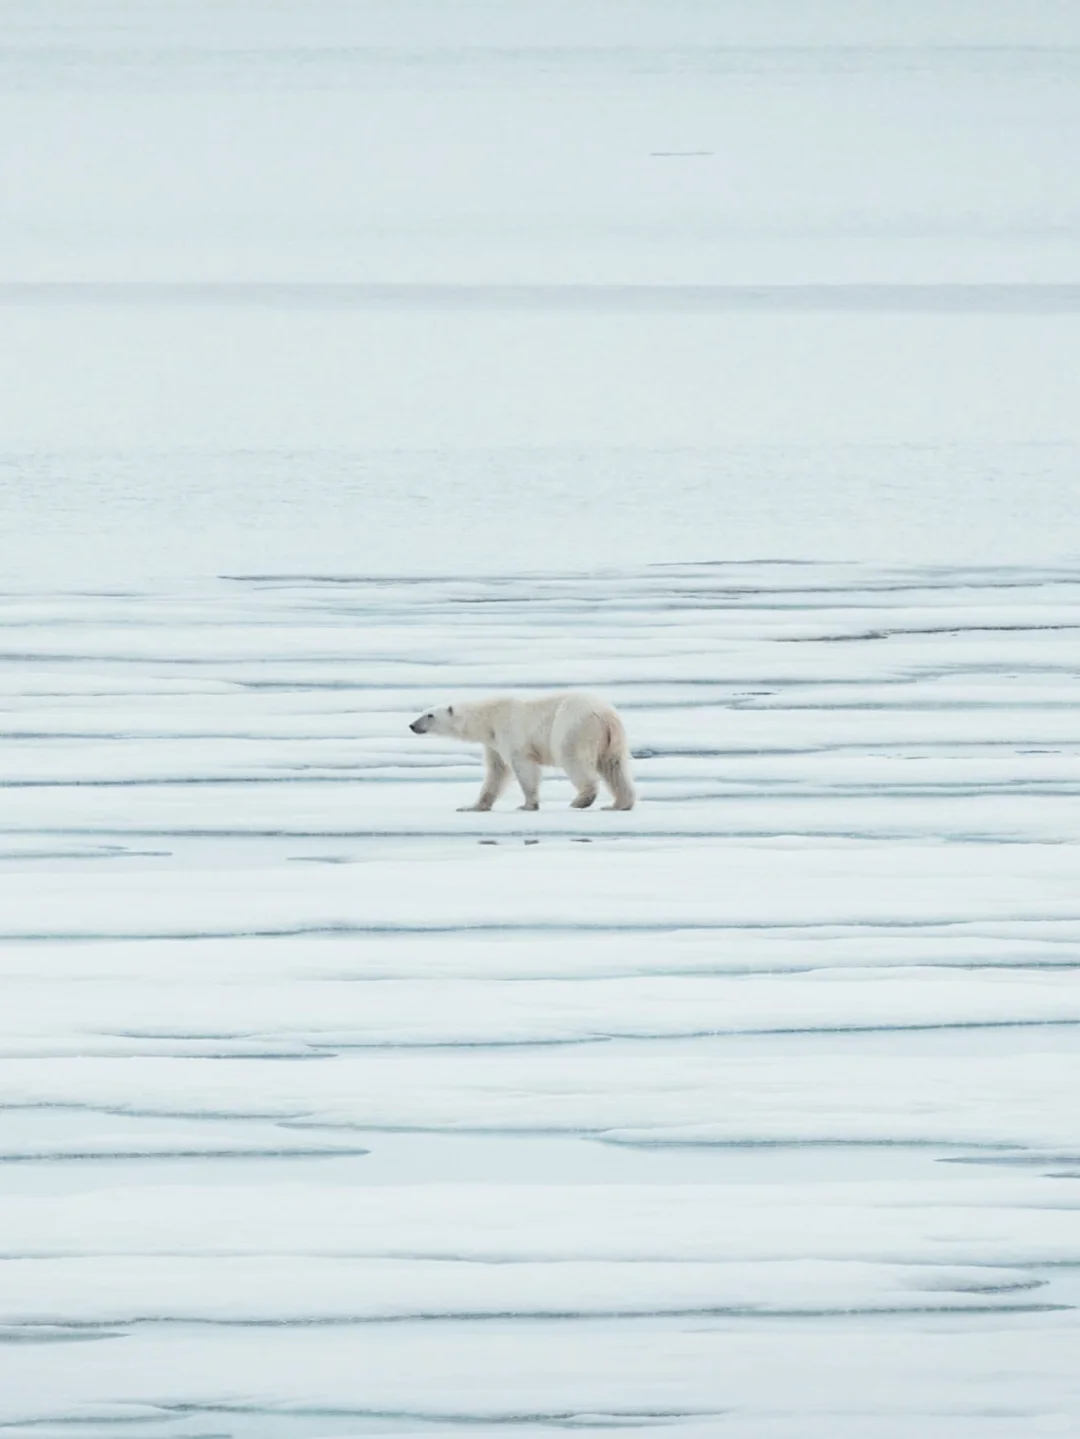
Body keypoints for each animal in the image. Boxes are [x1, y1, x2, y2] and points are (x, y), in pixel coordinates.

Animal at [408, 693, 638, 811]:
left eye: (429, 715)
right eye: (423, 712)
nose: (412, 725)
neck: (489, 719)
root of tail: (606, 715)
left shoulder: (511, 735)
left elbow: (523, 768)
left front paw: (528, 804)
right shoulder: (493, 744)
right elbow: (496, 771)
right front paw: (473, 806)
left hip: (573, 727)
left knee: (573, 759)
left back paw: (581, 800)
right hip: (613, 740)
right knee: (614, 767)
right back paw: (619, 804)